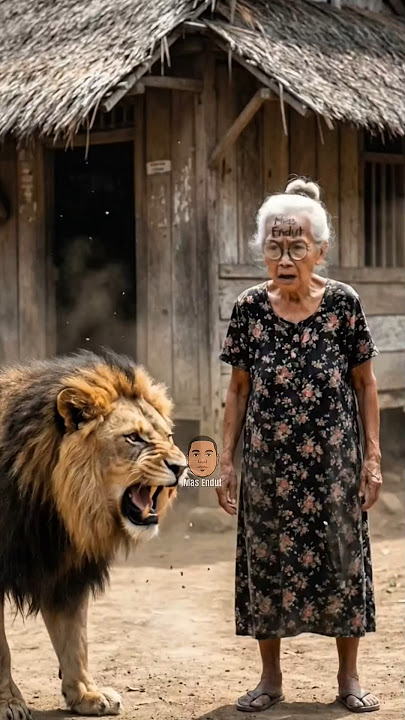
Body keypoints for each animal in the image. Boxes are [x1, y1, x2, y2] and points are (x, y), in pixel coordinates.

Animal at [0, 349, 188, 718]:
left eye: (169, 436)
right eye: (134, 437)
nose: (182, 466)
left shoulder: (67, 569)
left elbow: (75, 639)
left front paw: (87, 695)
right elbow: (2, 651)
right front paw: (9, 703)